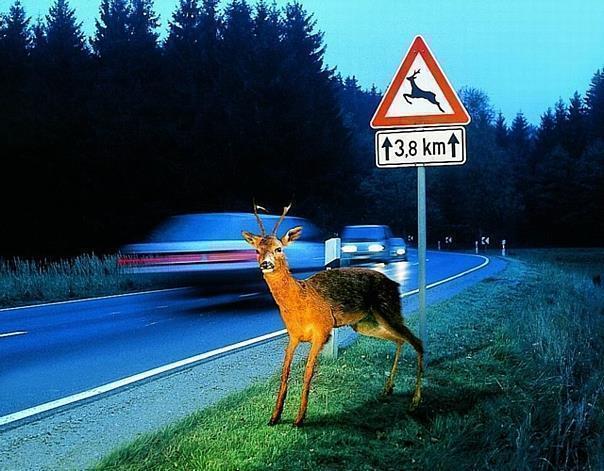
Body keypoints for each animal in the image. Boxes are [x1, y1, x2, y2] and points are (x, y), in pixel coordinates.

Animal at [242, 203, 424, 428]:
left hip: (388, 309)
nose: (265, 264)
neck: (300, 301)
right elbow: (285, 372)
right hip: (366, 323)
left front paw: (299, 419)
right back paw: (388, 388)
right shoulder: (293, 335)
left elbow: (308, 372)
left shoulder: (322, 330)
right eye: (257, 250)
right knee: (400, 340)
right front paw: (274, 417)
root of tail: (395, 284)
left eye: (279, 248)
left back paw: (415, 402)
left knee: (417, 342)